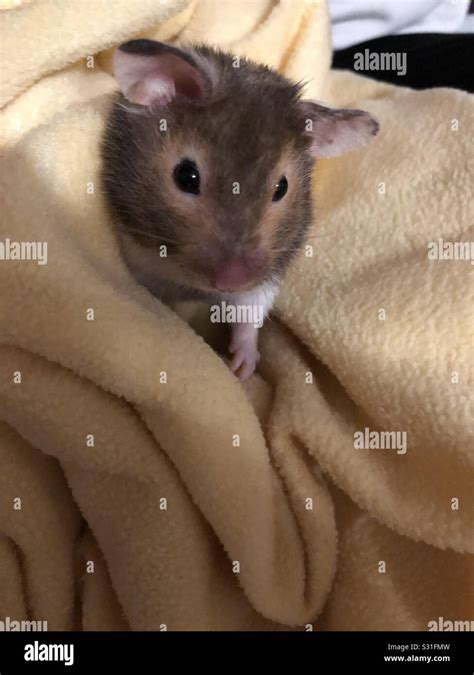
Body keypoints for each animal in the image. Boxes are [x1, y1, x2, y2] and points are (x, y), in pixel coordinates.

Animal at [101, 40, 379, 379]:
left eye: (281, 187)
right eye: (186, 176)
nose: (231, 280)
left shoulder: (268, 273)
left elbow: (249, 313)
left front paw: (241, 369)